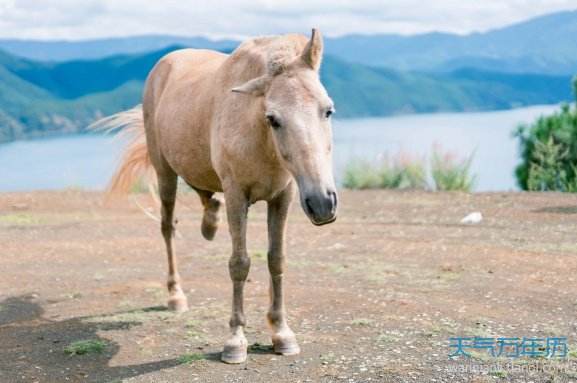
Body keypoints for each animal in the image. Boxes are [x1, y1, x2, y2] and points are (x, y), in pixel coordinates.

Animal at [97, 28, 336, 364]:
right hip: (164, 172)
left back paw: (210, 223)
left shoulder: (283, 196)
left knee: (205, 195)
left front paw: (281, 333)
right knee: (168, 228)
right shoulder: (237, 195)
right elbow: (239, 263)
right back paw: (175, 295)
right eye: (273, 118)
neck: (259, 137)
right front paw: (235, 341)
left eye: (328, 110)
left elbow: (276, 259)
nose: (323, 203)